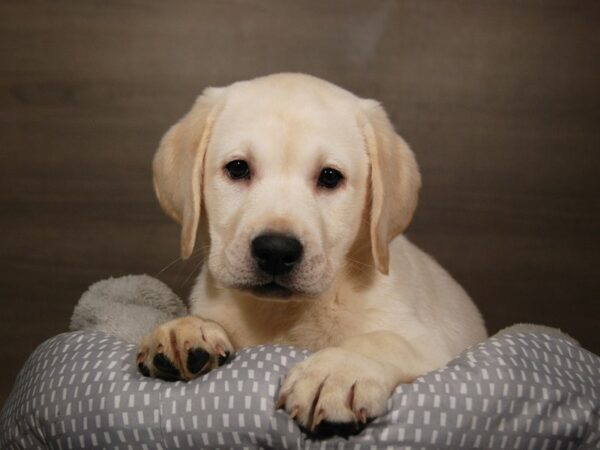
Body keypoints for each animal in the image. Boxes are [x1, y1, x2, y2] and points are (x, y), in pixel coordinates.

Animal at [137, 73, 488, 432]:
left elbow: (382, 340)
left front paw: (336, 371)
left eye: (330, 177)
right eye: (237, 169)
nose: (275, 251)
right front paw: (186, 328)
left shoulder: (435, 347)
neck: (284, 315)